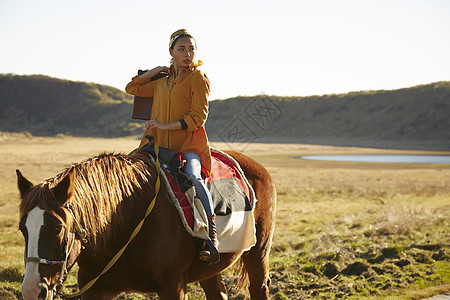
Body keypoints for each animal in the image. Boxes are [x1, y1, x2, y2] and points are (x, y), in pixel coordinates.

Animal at [17, 151, 276, 298]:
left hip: (258, 253)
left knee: (259, 287)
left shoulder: (173, 287)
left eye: (58, 228)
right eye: (22, 229)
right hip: (210, 268)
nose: (31, 291)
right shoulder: (95, 291)